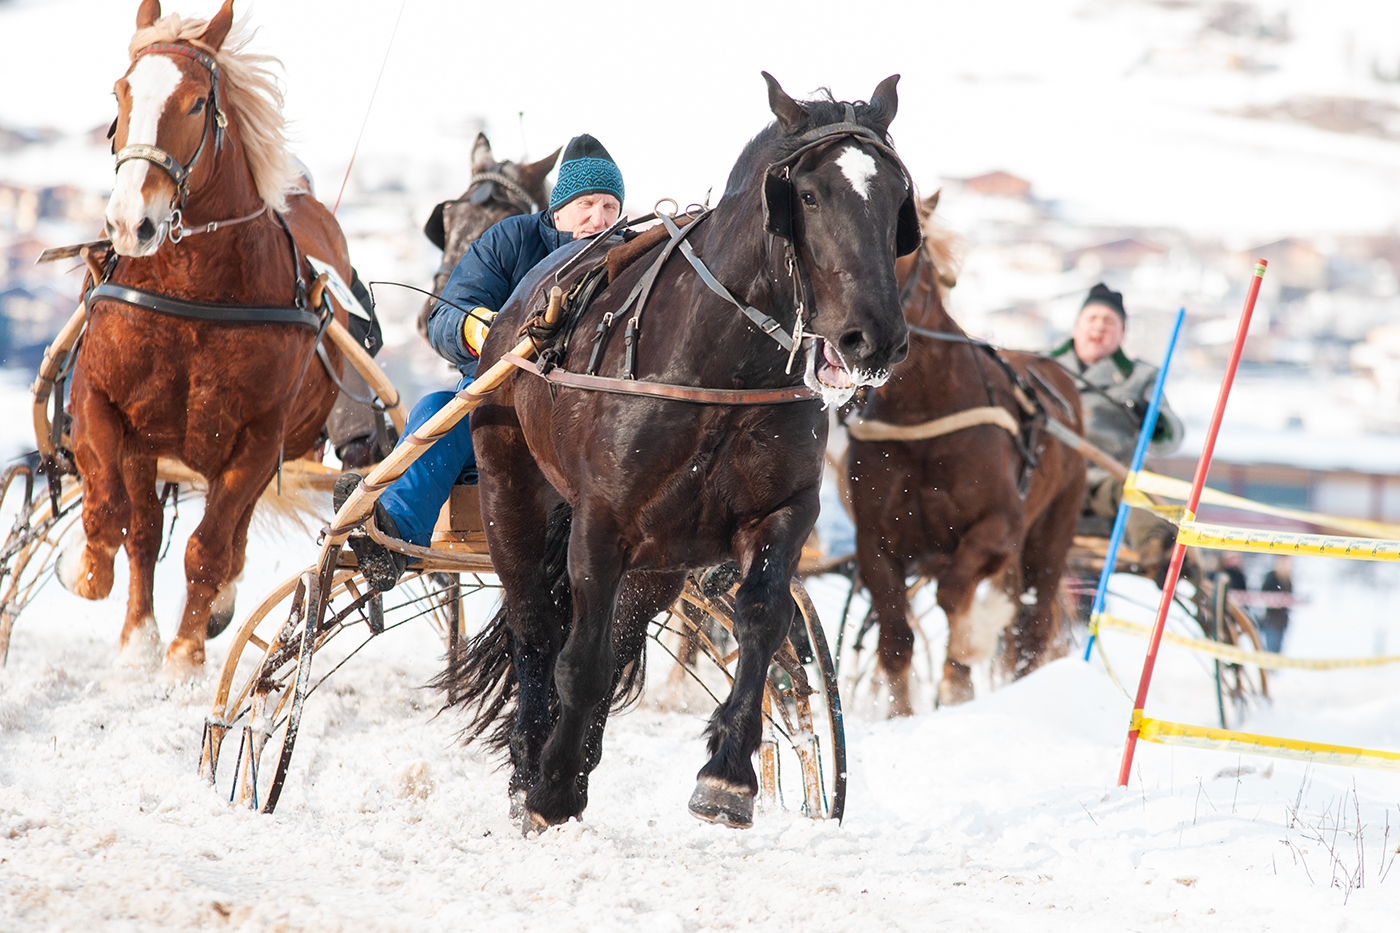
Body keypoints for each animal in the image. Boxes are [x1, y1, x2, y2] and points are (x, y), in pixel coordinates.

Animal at [60, 0, 355, 672]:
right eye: (120, 93)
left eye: (197, 103)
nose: (130, 223)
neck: (193, 293)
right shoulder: (104, 402)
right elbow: (113, 514)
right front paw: (90, 578)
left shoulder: (259, 439)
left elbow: (210, 548)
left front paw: (184, 656)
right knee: (143, 529)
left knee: (230, 540)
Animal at [442, 74, 912, 829]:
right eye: (810, 195)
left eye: (897, 198)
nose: (876, 336)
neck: (724, 368)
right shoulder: (600, 520)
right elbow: (578, 658)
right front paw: (547, 788)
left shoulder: (783, 510)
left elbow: (761, 617)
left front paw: (727, 775)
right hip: (505, 486)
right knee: (534, 625)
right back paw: (532, 764)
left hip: (663, 556)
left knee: (621, 634)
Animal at [840, 190, 1080, 711]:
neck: (924, 408)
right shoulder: (874, 541)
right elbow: (895, 635)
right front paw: (899, 713)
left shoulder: (1000, 527)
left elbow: (956, 593)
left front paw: (960, 674)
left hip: (1051, 536)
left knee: (1032, 626)